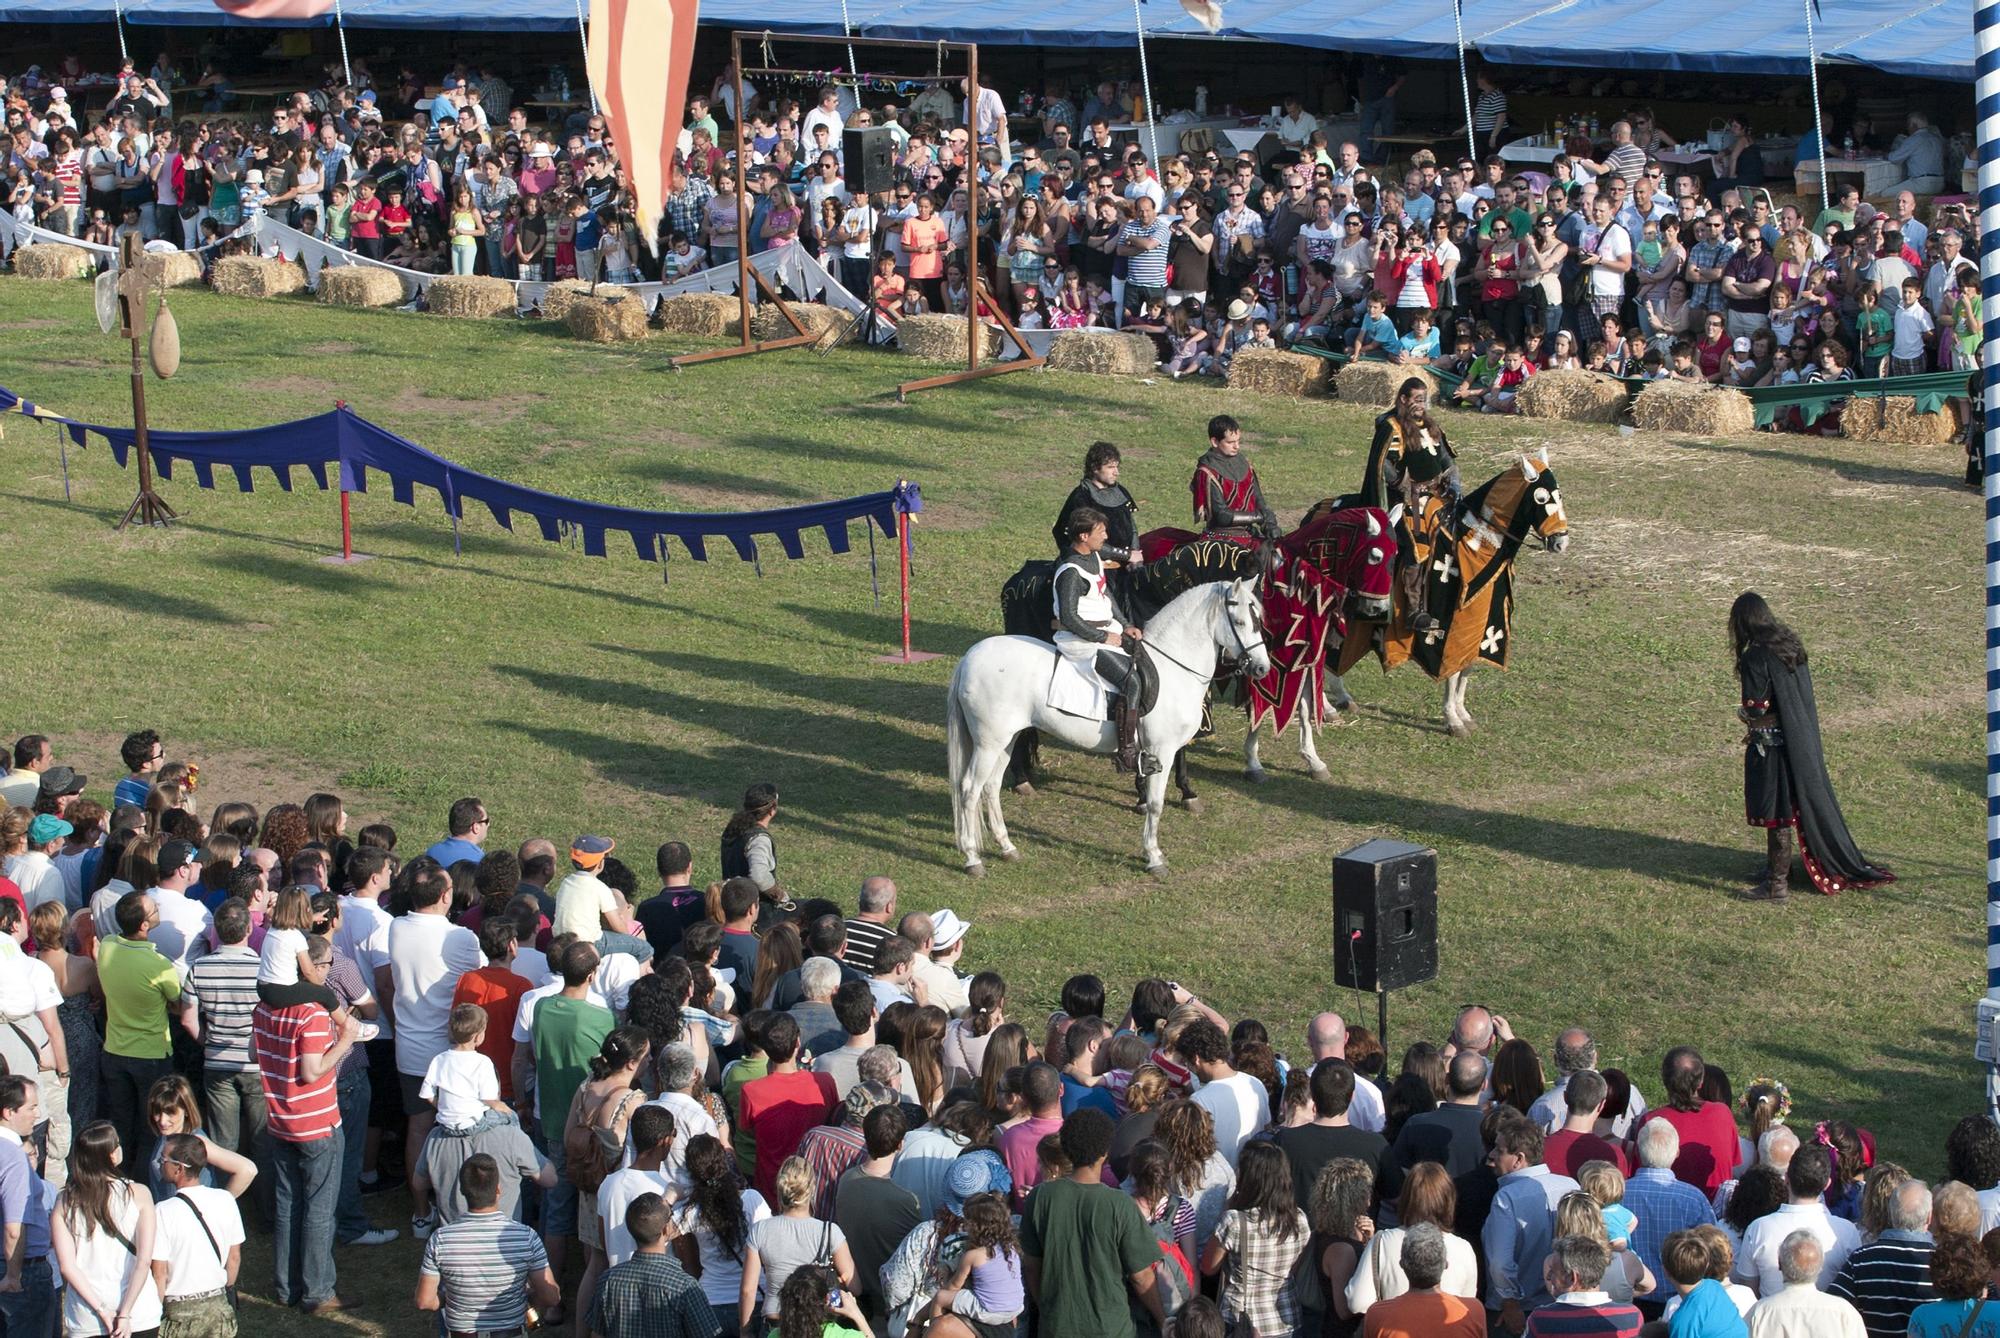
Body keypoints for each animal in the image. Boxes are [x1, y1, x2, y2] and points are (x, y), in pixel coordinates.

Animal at [948, 576, 1264, 876]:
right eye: (1239, 622)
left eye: (1259, 621)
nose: (1262, 668)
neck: (1173, 669)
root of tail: (969, 658)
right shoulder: (1161, 751)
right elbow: (1156, 804)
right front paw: (1154, 857)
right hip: (989, 743)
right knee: (969, 789)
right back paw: (972, 858)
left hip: (1006, 739)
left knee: (991, 786)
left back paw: (1007, 847)